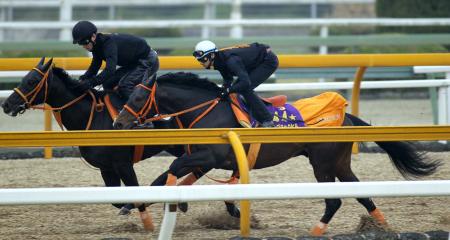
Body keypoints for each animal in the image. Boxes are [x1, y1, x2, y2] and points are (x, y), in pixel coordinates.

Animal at [1, 58, 185, 231]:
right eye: (24, 78)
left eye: (32, 81)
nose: (6, 104)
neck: (93, 117)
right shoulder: (106, 168)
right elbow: (118, 200)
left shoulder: (123, 164)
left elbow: (134, 193)